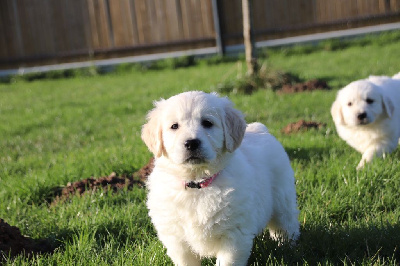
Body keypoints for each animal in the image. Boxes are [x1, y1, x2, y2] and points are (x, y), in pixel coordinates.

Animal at [141, 90, 300, 264]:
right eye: (174, 126)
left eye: (207, 123)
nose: (191, 143)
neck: (197, 183)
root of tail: (260, 128)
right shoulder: (176, 238)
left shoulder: (234, 235)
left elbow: (227, 261)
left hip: (282, 198)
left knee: (286, 225)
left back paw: (287, 249)